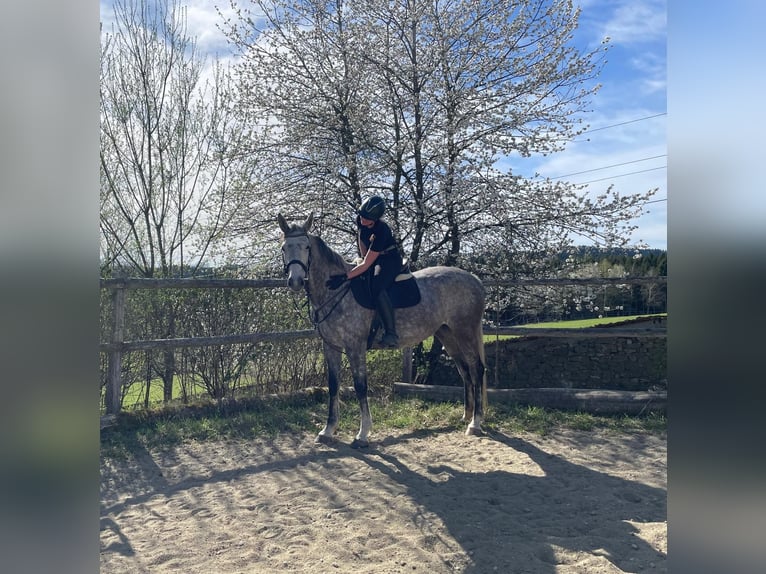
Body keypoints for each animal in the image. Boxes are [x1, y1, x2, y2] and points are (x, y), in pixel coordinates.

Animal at [278, 212, 488, 447]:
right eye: (284, 248)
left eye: (306, 247)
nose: (295, 281)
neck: (337, 289)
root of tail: (474, 280)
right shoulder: (330, 346)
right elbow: (333, 386)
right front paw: (328, 430)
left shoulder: (355, 347)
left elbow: (360, 387)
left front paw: (362, 434)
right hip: (447, 334)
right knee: (464, 370)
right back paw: (466, 416)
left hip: (465, 332)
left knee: (476, 369)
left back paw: (475, 423)